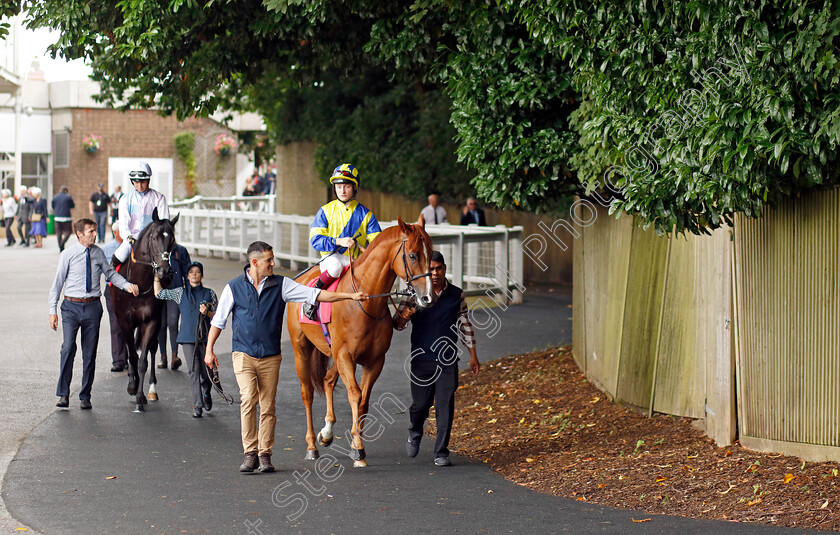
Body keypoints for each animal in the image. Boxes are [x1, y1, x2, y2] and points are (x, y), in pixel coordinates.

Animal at [110, 207, 178, 412]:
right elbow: (132, 356)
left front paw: (140, 396)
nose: (165, 271)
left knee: (153, 348)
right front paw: (133, 386)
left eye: (172, 240)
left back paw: (152, 390)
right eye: (155, 237)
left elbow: (142, 361)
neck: (139, 283)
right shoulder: (124, 321)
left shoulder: (151, 321)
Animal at [288, 218, 436, 468]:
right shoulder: (345, 356)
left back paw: (326, 434)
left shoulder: (374, 360)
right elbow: (355, 395)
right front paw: (358, 448)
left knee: (327, 381)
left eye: (431, 253)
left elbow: (364, 401)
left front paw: (355, 444)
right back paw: (311, 446)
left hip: (334, 354)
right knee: (307, 392)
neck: (365, 303)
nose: (428, 298)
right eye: (413, 255)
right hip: (302, 350)